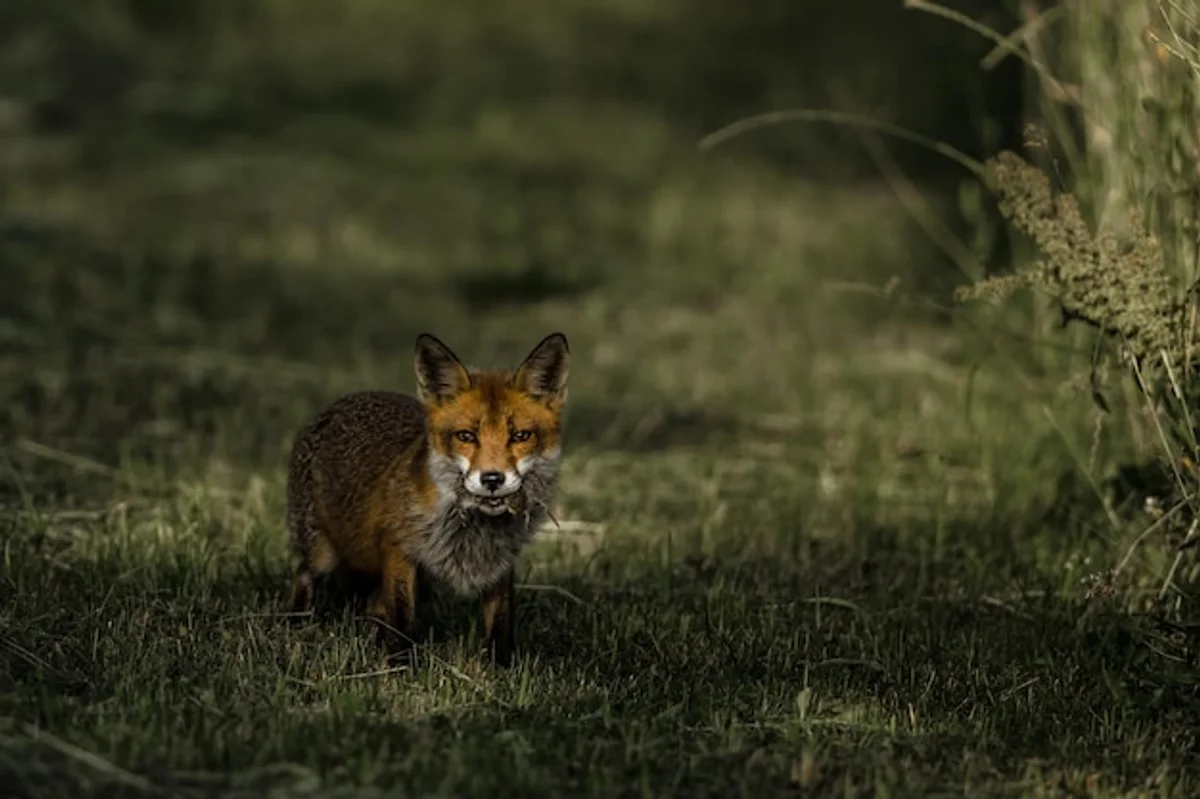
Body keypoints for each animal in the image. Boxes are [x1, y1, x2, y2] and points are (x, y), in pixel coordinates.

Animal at [285, 332, 570, 667]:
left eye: (521, 436)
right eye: (466, 436)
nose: (492, 479)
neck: (474, 532)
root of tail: (342, 401)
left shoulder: (501, 560)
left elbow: (500, 623)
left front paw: (500, 668)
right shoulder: (399, 550)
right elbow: (402, 618)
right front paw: (399, 667)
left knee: (372, 606)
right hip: (323, 553)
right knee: (303, 575)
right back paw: (295, 626)